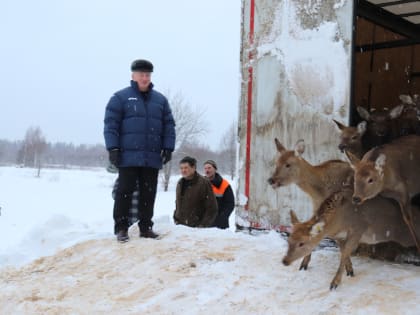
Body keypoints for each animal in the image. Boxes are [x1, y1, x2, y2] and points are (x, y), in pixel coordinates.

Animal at [268, 139, 352, 270]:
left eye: (288, 164)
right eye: (276, 162)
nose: (271, 180)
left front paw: (349, 269)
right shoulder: (316, 207)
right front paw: (304, 264)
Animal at [282, 189, 416, 290]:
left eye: (301, 243)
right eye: (289, 240)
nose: (285, 261)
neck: (338, 222)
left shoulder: (358, 229)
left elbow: (345, 252)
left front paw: (334, 283)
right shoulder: (339, 236)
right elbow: (343, 252)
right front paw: (350, 270)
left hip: (404, 235)